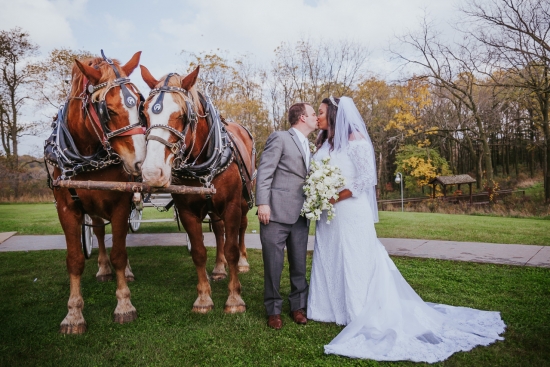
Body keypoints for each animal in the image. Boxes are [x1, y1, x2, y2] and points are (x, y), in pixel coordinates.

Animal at [45, 51, 147, 334]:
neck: (88, 154)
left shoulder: (122, 203)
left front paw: (124, 305)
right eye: (107, 110)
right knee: (100, 230)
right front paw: (73, 314)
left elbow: (120, 253)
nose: (140, 162)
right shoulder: (67, 208)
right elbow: (75, 259)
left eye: (140, 104)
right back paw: (103, 268)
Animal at [140, 65, 256, 314]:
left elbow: (232, 248)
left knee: (241, 228)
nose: (153, 172)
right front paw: (203, 298)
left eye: (183, 115)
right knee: (219, 230)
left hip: (243, 200)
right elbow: (199, 252)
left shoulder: (232, 206)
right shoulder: (187, 211)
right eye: (144, 113)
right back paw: (219, 268)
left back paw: (243, 262)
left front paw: (234, 298)